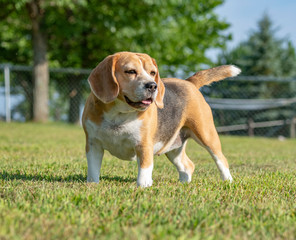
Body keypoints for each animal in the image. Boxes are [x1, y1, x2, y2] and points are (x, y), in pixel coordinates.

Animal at [81, 52, 240, 188]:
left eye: (153, 73)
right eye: (131, 71)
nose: (152, 85)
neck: (119, 114)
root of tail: (189, 83)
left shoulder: (144, 145)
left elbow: (144, 171)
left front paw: (143, 187)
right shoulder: (93, 144)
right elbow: (93, 170)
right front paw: (92, 185)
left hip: (207, 135)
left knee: (221, 161)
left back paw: (228, 182)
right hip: (173, 148)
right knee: (188, 166)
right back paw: (184, 184)